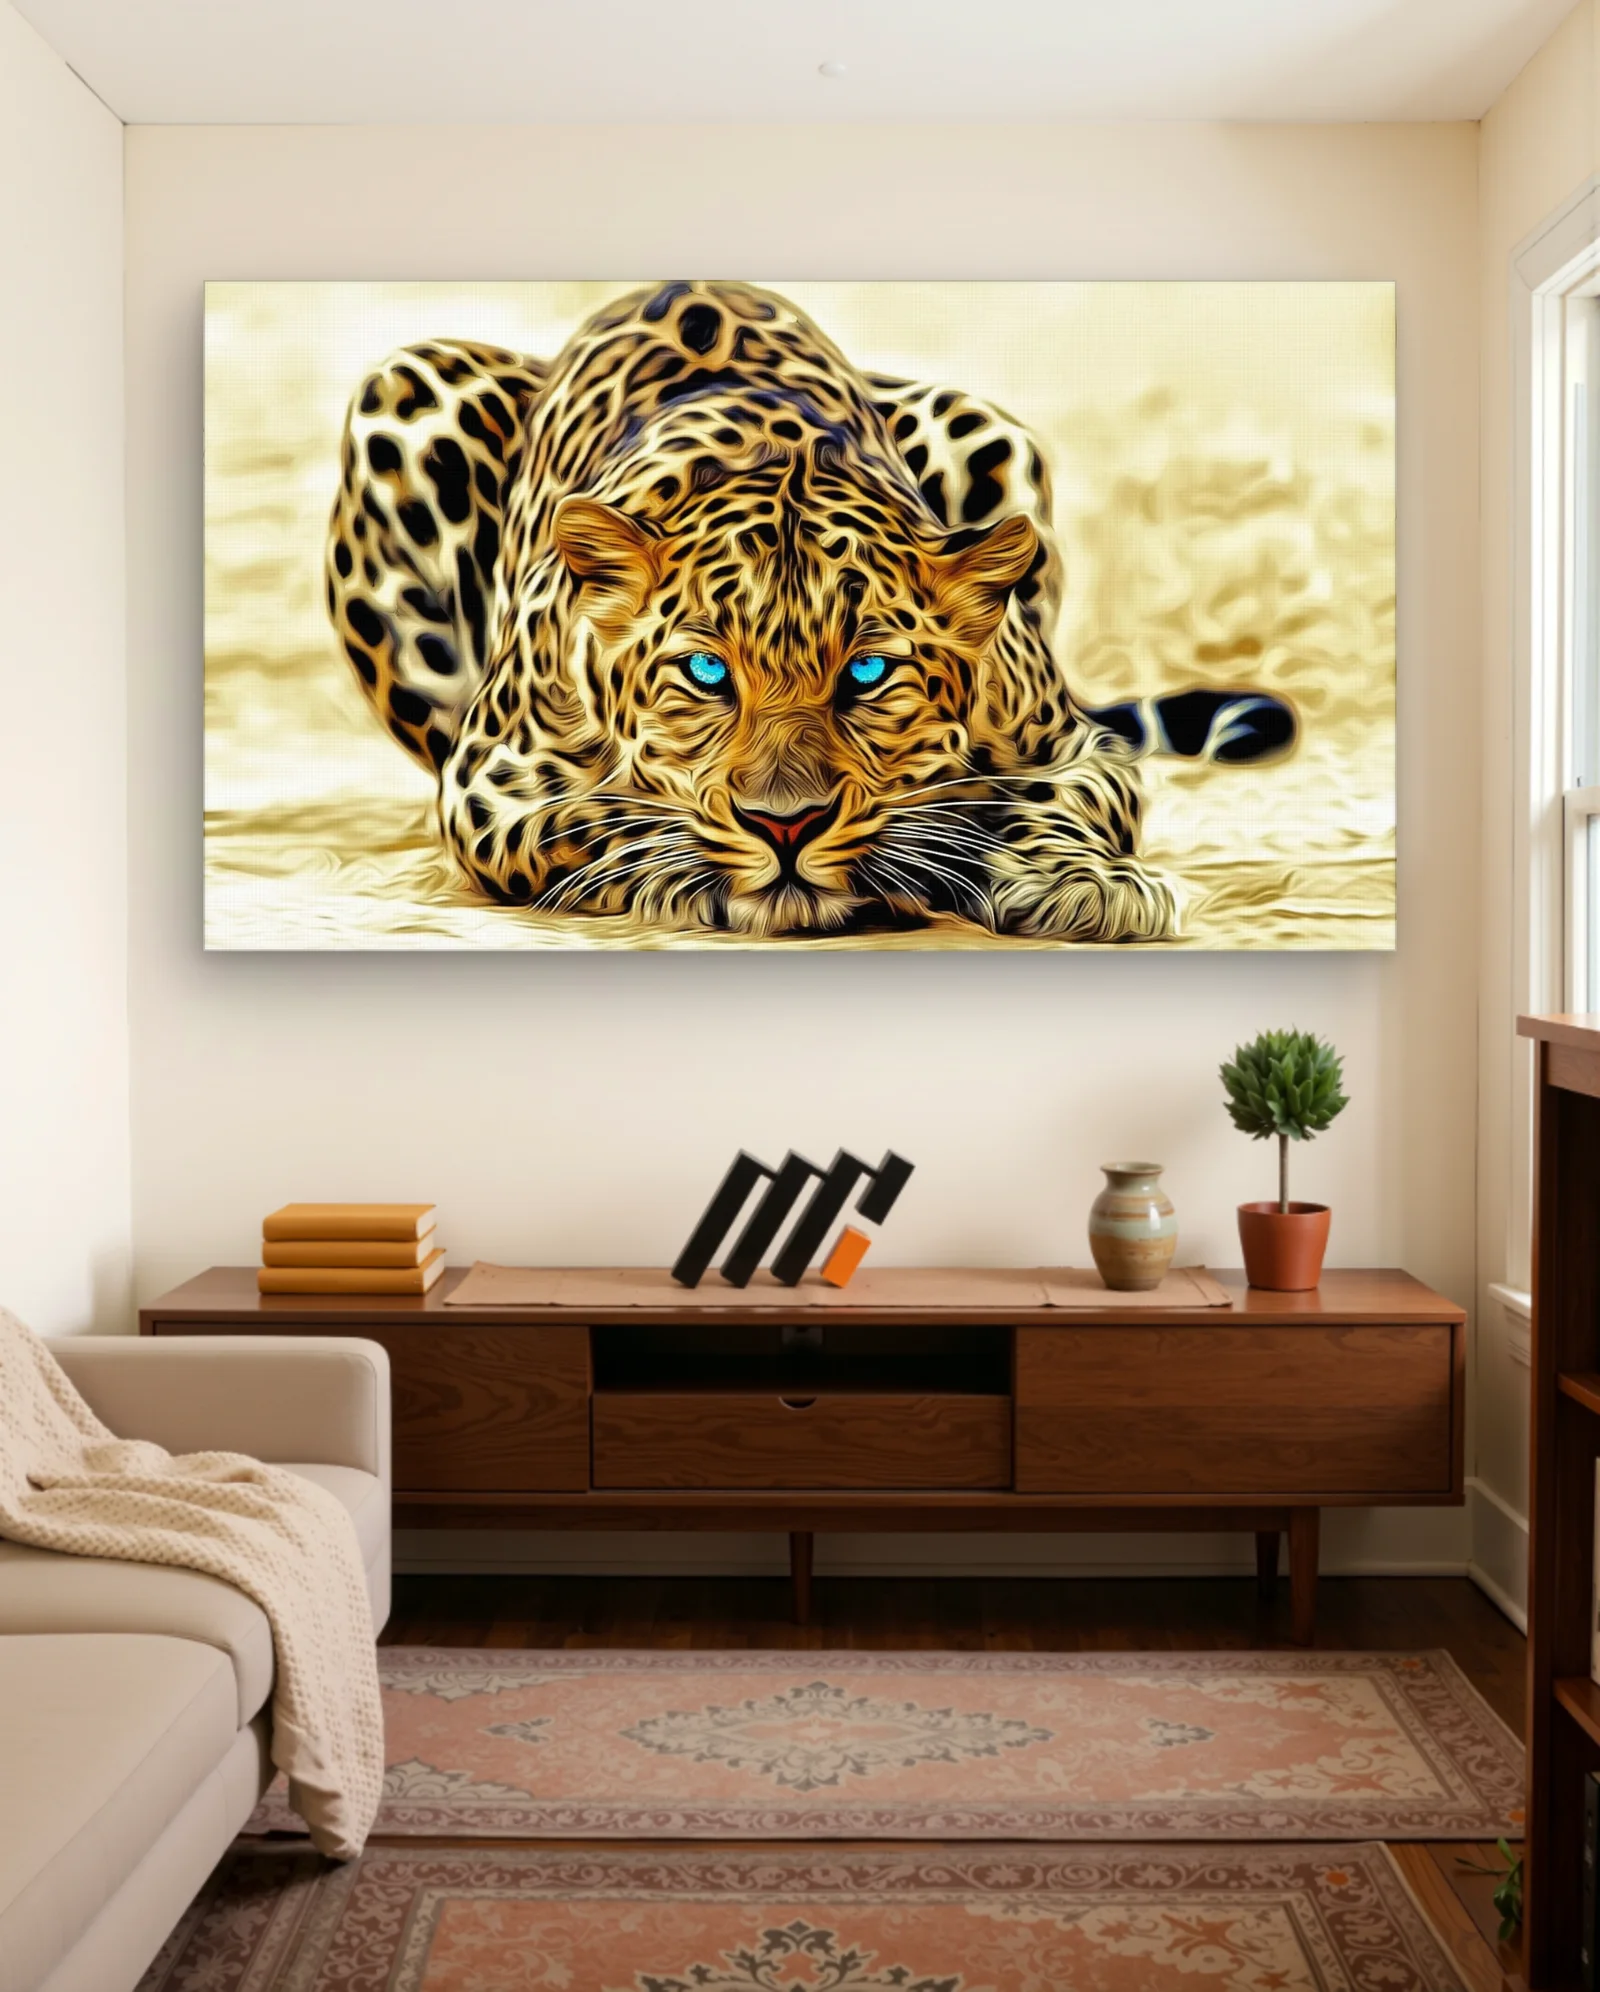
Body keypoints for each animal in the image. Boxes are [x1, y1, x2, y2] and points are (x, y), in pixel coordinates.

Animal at [326, 280, 1295, 943]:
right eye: (706, 672)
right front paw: (689, 873)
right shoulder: (490, 779)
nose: (785, 826)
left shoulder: (1071, 744)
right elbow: (595, 820)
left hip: (986, 426)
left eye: (868, 672)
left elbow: (1063, 799)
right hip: (404, 390)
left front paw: (1082, 883)